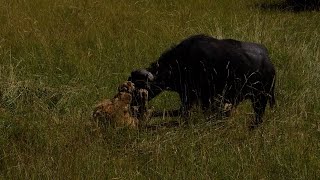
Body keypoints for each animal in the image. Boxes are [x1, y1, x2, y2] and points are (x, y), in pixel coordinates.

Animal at [128, 34, 276, 128]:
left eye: (137, 86)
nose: (131, 107)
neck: (182, 62)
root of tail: (269, 63)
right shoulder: (189, 96)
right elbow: (180, 112)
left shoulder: (201, 98)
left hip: (260, 99)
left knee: (258, 117)